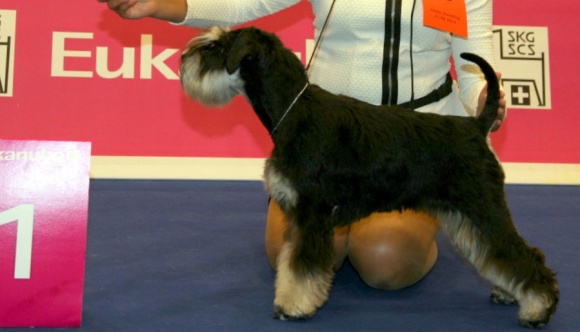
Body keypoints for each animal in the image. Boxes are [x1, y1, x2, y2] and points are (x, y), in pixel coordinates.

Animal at [180, 26, 556, 330]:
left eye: (215, 47)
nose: (183, 59)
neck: (293, 111)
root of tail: (476, 126)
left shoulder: (312, 214)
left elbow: (301, 266)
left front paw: (294, 306)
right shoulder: (300, 217)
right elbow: (290, 261)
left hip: (482, 207)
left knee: (523, 253)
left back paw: (538, 309)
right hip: (466, 216)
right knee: (496, 254)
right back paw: (509, 292)